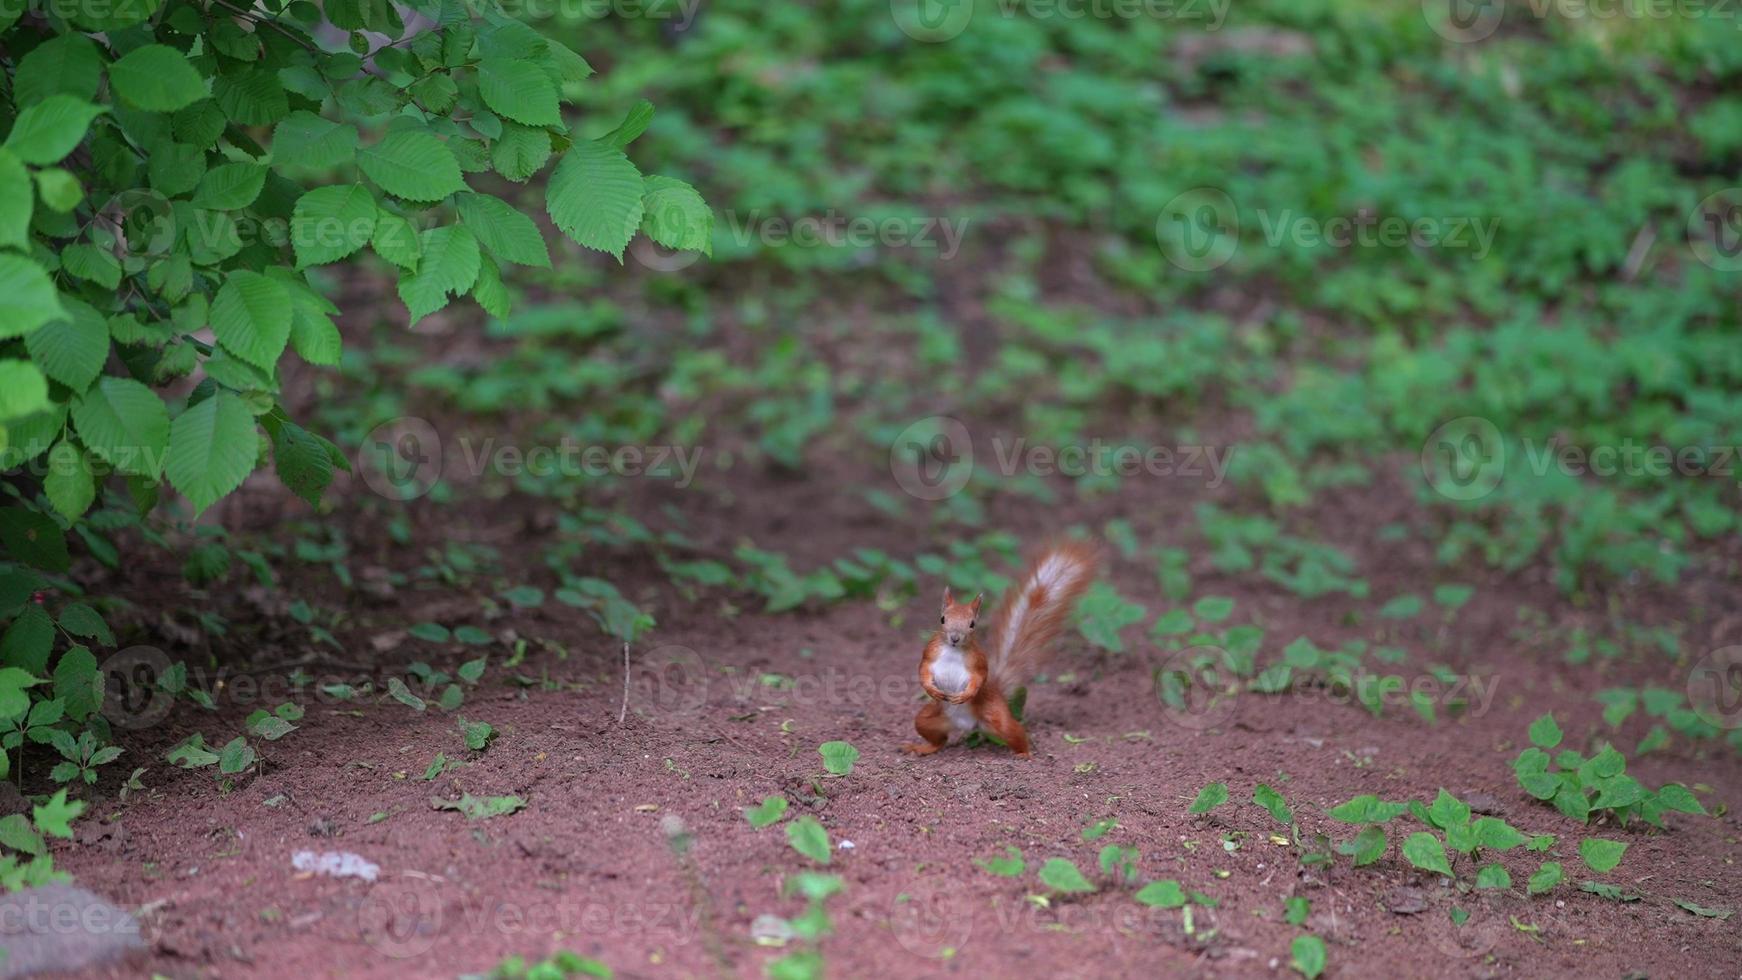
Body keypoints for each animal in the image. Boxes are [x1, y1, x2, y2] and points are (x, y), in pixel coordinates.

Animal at [905, 543, 1093, 758]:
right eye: (942, 619)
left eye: (972, 624)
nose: (954, 638)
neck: (953, 651)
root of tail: (970, 725)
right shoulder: (930, 652)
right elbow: (923, 670)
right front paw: (930, 689)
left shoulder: (977, 659)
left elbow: (980, 676)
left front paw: (967, 694)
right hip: (930, 719)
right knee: (937, 738)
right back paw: (922, 748)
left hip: (997, 716)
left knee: (1014, 732)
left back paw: (1024, 754)